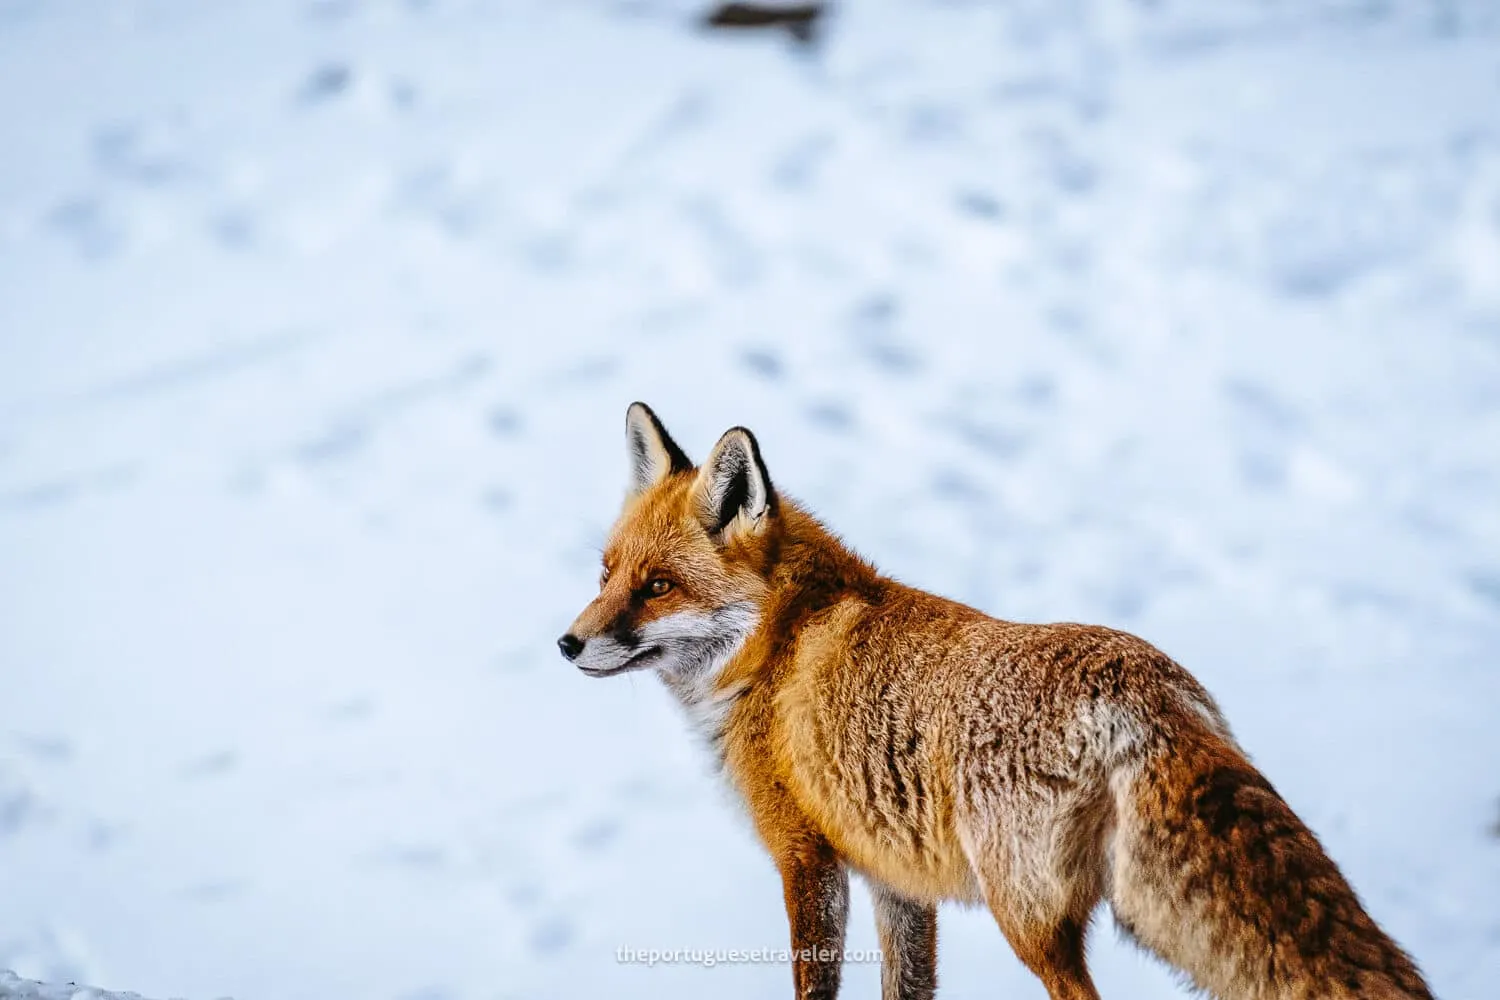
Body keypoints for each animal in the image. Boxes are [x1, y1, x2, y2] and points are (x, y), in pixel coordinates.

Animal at [558, 402, 1433, 1000]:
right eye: (606, 574)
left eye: (658, 587)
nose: (567, 643)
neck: (776, 642)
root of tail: (1141, 689)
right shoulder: (896, 878)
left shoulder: (805, 857)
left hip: (1028, 919)